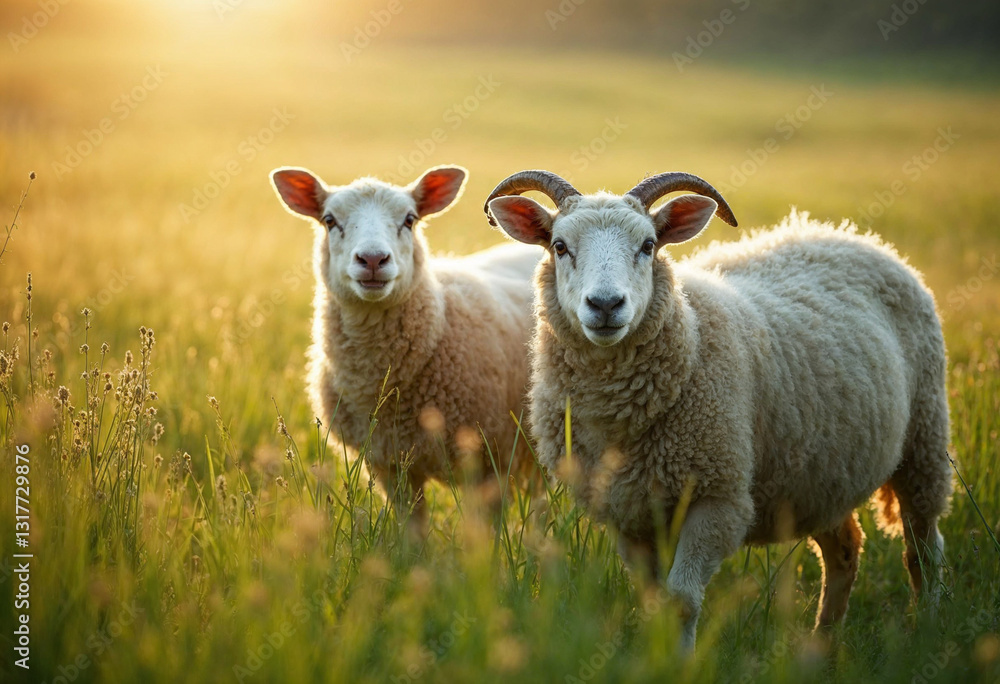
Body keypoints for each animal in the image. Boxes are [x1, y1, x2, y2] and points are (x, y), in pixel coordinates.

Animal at [484, 169, 952, 651]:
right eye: (560, 246)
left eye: (648, 245)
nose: (606, 305)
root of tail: (851, 236)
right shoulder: (627, 513)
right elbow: (652, 599)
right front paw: (656, 655)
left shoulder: (718, 499)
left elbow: (680, 600)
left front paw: (681, 660)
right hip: (820, 475)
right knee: (844, 550)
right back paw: (823, 645)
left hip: (924, 439)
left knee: (922, 549)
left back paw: (926, 628)